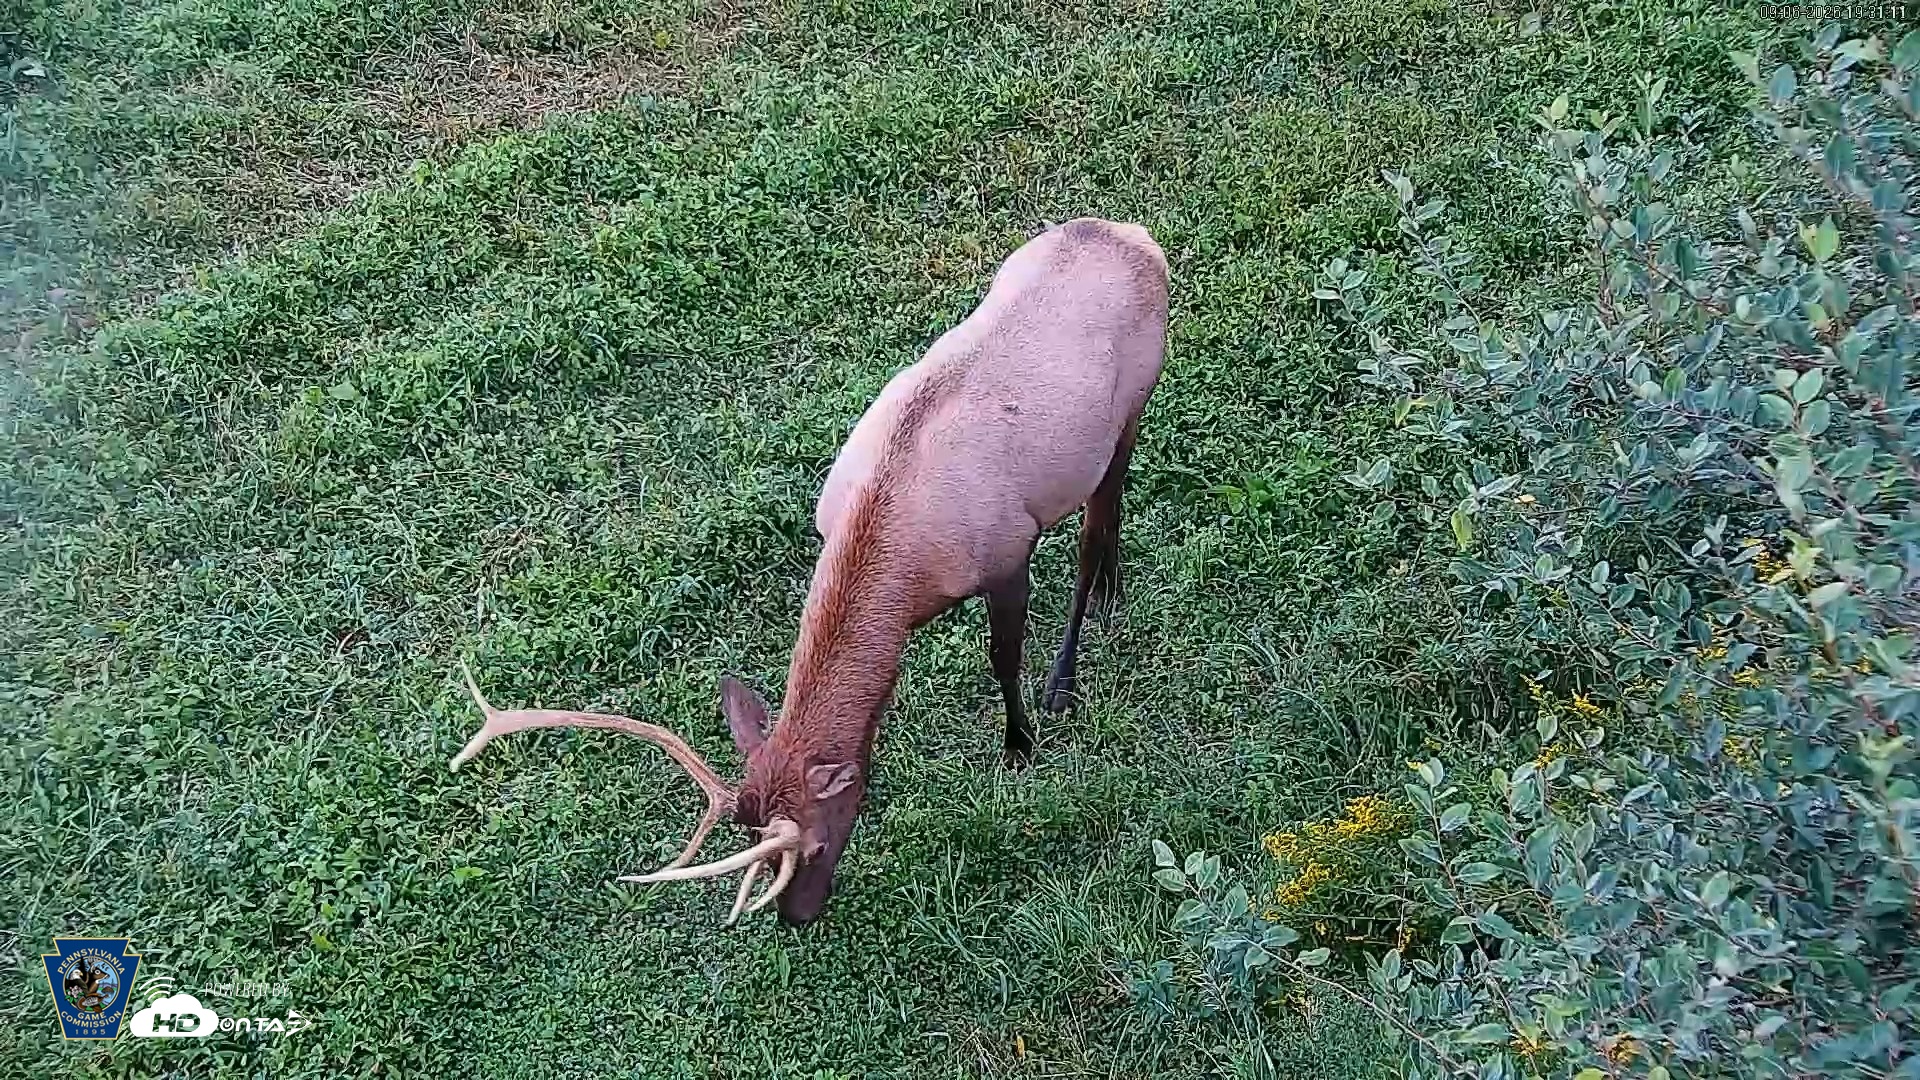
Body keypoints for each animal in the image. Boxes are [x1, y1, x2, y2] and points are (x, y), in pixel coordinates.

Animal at [449, 217, 1169, 925]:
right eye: (749, 836)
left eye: (816, 843)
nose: (796, 919)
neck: (906, 577)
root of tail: (1136, 237)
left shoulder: (1008, 552)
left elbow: (1004, 658)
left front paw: (1020, 745)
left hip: (1132, 405)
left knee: (1096, 526)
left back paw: (1073, 663)